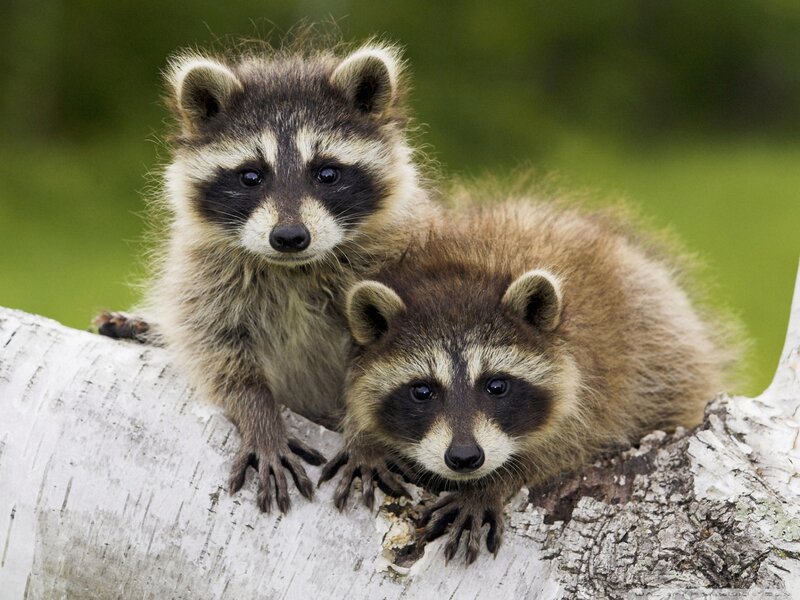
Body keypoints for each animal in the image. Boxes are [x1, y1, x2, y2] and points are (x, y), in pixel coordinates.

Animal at [97, 40, 440, 513]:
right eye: (251, 176)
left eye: (327, 173)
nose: (290, 237)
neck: (293, 269)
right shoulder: (205, 273)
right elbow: (217, 349)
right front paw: (258, 414)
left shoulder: (398, 261)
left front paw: (366, 437)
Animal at [320, 199, 736, 563]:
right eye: (422, 391)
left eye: (496, 386)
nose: (465, 458)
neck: (464, 270)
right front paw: (364, 439)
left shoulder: (598, 383)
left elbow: (567, 445)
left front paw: (493, 483)